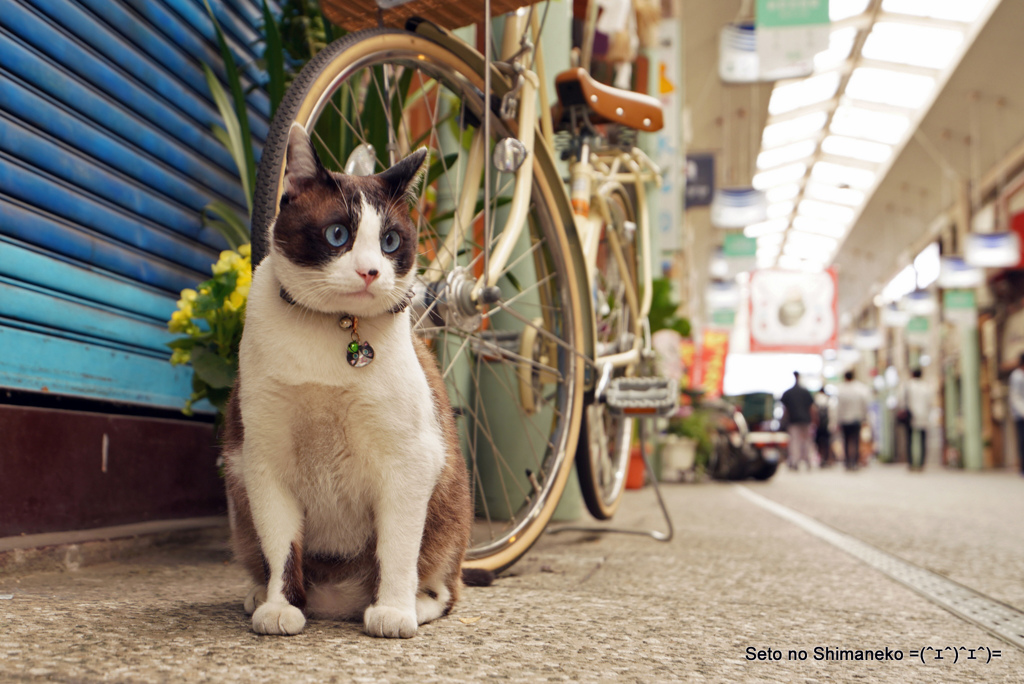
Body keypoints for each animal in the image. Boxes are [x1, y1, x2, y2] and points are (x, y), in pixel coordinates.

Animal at [223, 121, 475, 634]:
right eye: (337, 233)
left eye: (391, 242)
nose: (370, 271)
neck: (335, 332)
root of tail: (335, 601)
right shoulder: (263, 460)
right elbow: (282, 547)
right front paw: (279, 607)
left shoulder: (409, 459)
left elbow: (397, 548)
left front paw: (393, 612)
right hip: (239, 500)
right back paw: (259, 595)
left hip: (449, 516)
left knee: (444, 586)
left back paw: (411, 605)